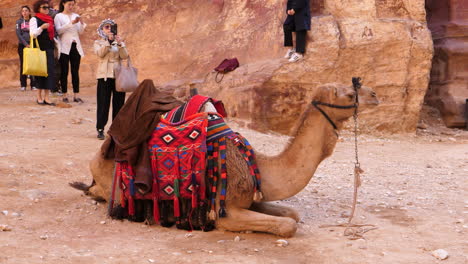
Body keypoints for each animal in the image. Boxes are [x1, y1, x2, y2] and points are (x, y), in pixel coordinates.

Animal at [74, 82, 380, 237]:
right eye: (350, 93)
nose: (376, 95)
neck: (257, 163)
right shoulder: (225, 210)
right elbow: (288, 225)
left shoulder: (252, 195)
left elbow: (291, 214)